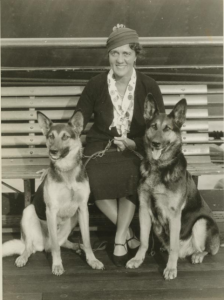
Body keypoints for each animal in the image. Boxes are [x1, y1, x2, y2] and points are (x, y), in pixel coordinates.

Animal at [2, 109, 104, 274]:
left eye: (65, 137)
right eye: (50, 136)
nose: (53, 151)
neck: (66, 171)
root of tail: (42, 245)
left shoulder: (82, 208)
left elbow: (87, 240)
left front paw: (92, 260)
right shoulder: (51, 210)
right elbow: (56, 247)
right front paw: (57, 265)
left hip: (73, 217)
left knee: (62, 242)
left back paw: (77, 246)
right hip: (28, 212)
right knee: (34, 247)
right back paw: (23, 257)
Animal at [127, 95, 220, 280]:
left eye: (167, 128)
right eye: (153, 126)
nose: (156, 144)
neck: (159, 167)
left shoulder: (174, 214)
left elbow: (174, 247)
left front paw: (170, 268)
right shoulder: (144, 210)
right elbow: (144, 241)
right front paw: (138, 259)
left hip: (201, 223)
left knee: (205, 249)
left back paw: (197, 255)